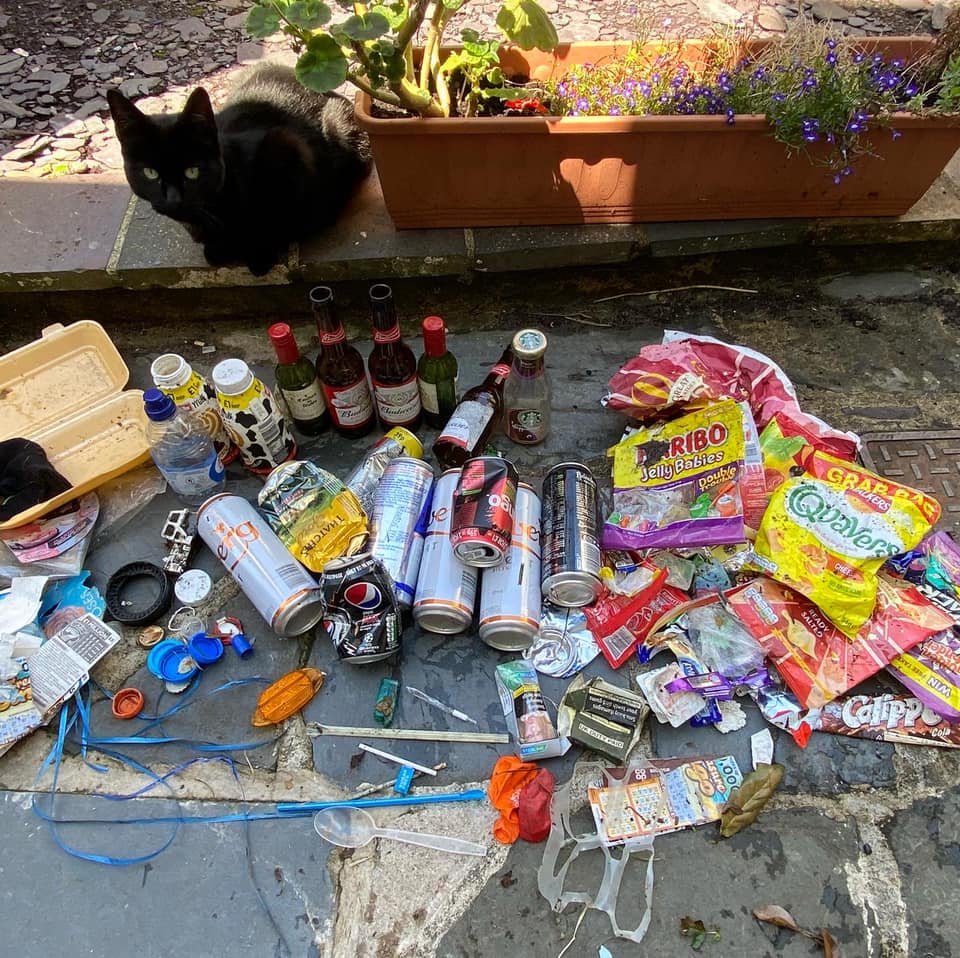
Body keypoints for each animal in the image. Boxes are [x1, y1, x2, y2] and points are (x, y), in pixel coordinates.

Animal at [108, 63, 372, 276]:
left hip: (339, 127)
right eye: (150, 173)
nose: (173, 200)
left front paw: (259, 254)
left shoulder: (287, 147)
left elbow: (283, 220)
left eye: (192, 171)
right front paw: (217, 246)